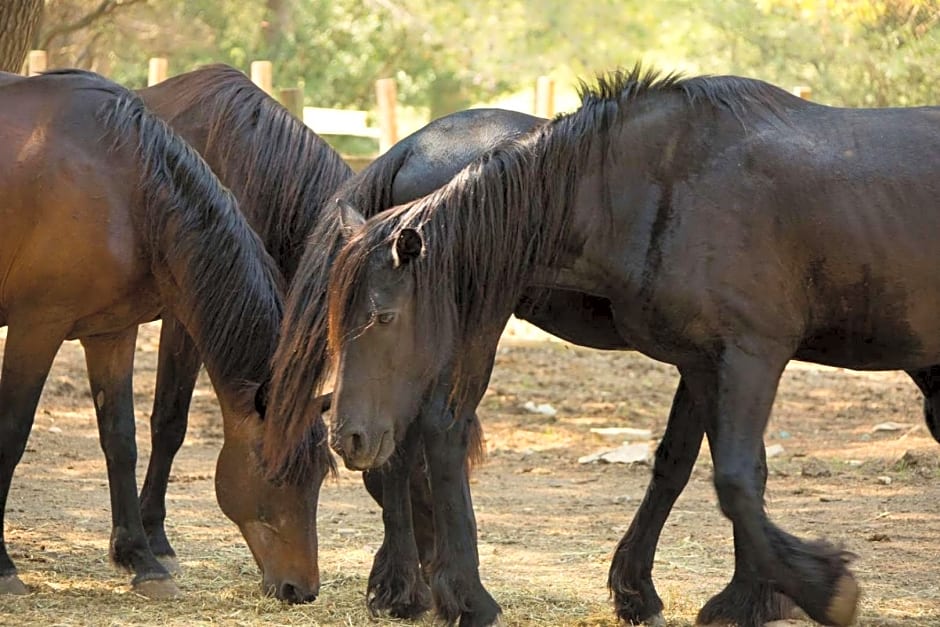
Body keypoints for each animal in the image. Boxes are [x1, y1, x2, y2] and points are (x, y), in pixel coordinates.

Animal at [0, 70, 316, 604]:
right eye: (276, 472)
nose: (303, 589)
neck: (122, 184)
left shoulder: (111, 332)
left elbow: (120, 440)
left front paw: (140, 559)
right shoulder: (36, 327)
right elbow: (12, 433)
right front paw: (2, 566)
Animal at [324, 66, 940, 624]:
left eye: (382, 316)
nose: (346, 436)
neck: (664, 182)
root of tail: (414, 144)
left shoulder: (711, 359)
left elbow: (692, 465)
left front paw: (671, 591)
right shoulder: (744, 357)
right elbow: (737, 476)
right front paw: (808, 588)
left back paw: (416, 587)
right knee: (434, 435)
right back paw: (442, 593)